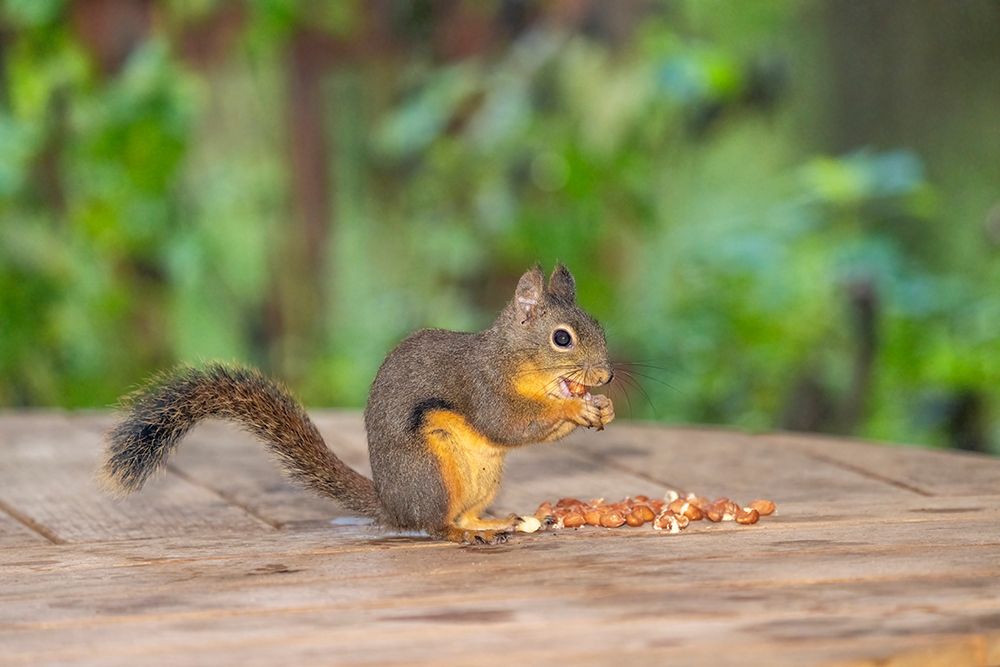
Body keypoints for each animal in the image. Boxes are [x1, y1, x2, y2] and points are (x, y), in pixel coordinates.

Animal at [101, 264, 615, 544]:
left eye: (598, 324)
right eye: (562, 339)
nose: (607, 375)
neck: (513, 358)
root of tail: (393, 507)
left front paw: (603, 407)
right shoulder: (481, 385)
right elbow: (506, 423)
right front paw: (575, 410)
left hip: (482, 478)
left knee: (459, 513)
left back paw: (495, 519)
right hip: (432, 472)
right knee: (436, 525)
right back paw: (467, 533)